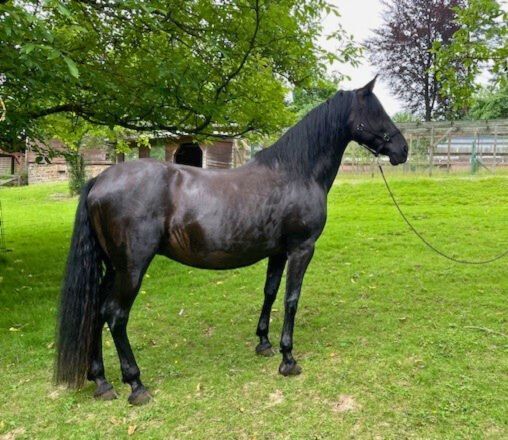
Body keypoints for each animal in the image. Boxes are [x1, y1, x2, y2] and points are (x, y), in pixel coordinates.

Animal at [55, 78, 408, 406]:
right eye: (376, 111)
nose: (402, 149)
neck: (295, 172)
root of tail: (99, 180)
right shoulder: (301, 249)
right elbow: (291, 299)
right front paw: (288, 359)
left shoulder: (278, 252)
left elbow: (270, 292)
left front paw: (264, 343)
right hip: (130, 268)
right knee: (115, 315)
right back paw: (136, 384)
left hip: (111, 267)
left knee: (96, 311)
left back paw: (102, 382)